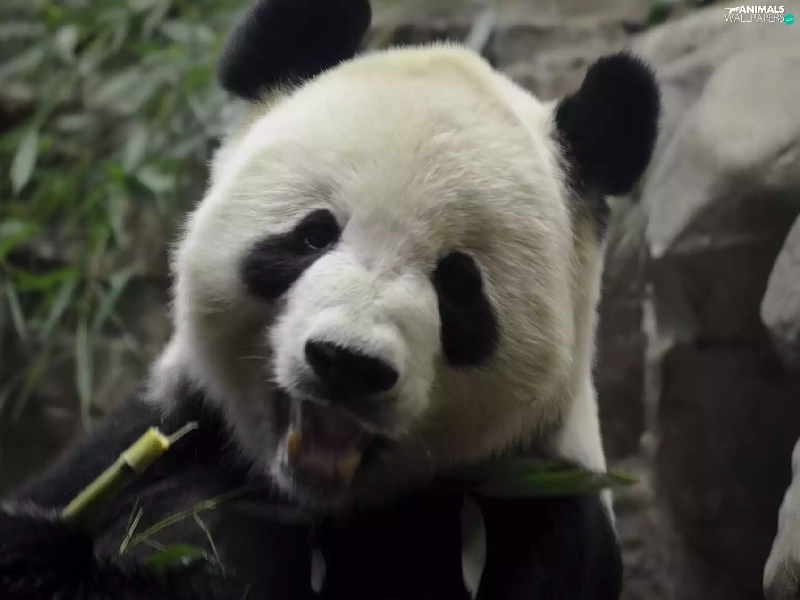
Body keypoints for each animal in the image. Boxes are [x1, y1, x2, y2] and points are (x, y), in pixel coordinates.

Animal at [0, 0, 660, 598]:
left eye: (457, 285)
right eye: (314, 235)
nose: (348, 363)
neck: (304, 500)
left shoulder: (530, 520)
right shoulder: (170, 432)